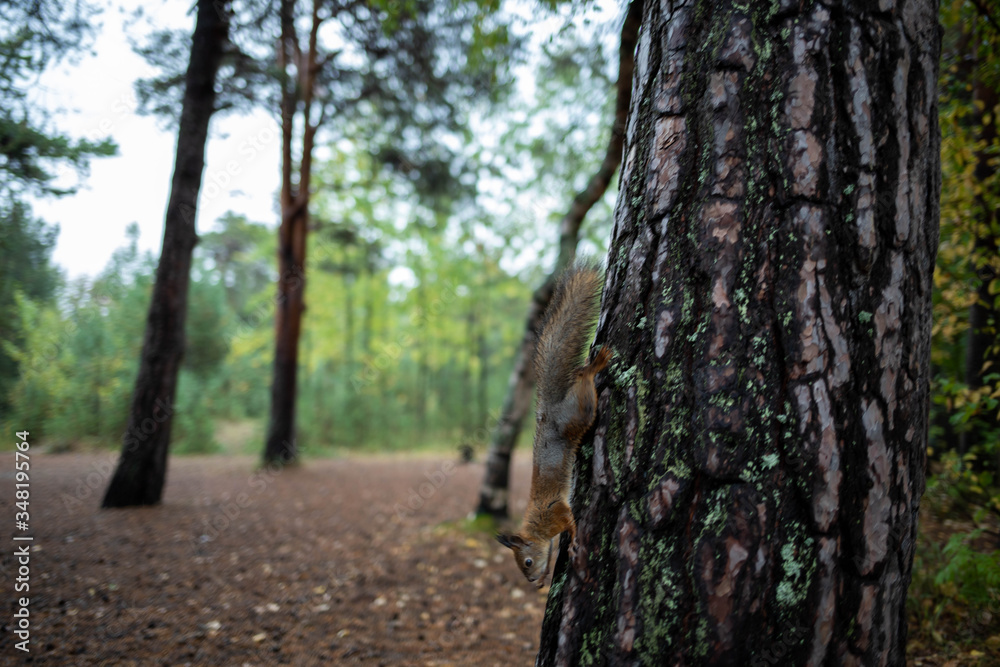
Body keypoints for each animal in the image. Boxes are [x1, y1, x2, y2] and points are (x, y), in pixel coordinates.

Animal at [496, 263, 610, 588]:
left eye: (527, 562)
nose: (534, 583)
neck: (537, 527)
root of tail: (548, 412)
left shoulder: (555, 511)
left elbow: (570, 522)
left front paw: (571, 543)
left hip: (577, 415)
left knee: (584, 379)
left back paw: (595, 365)